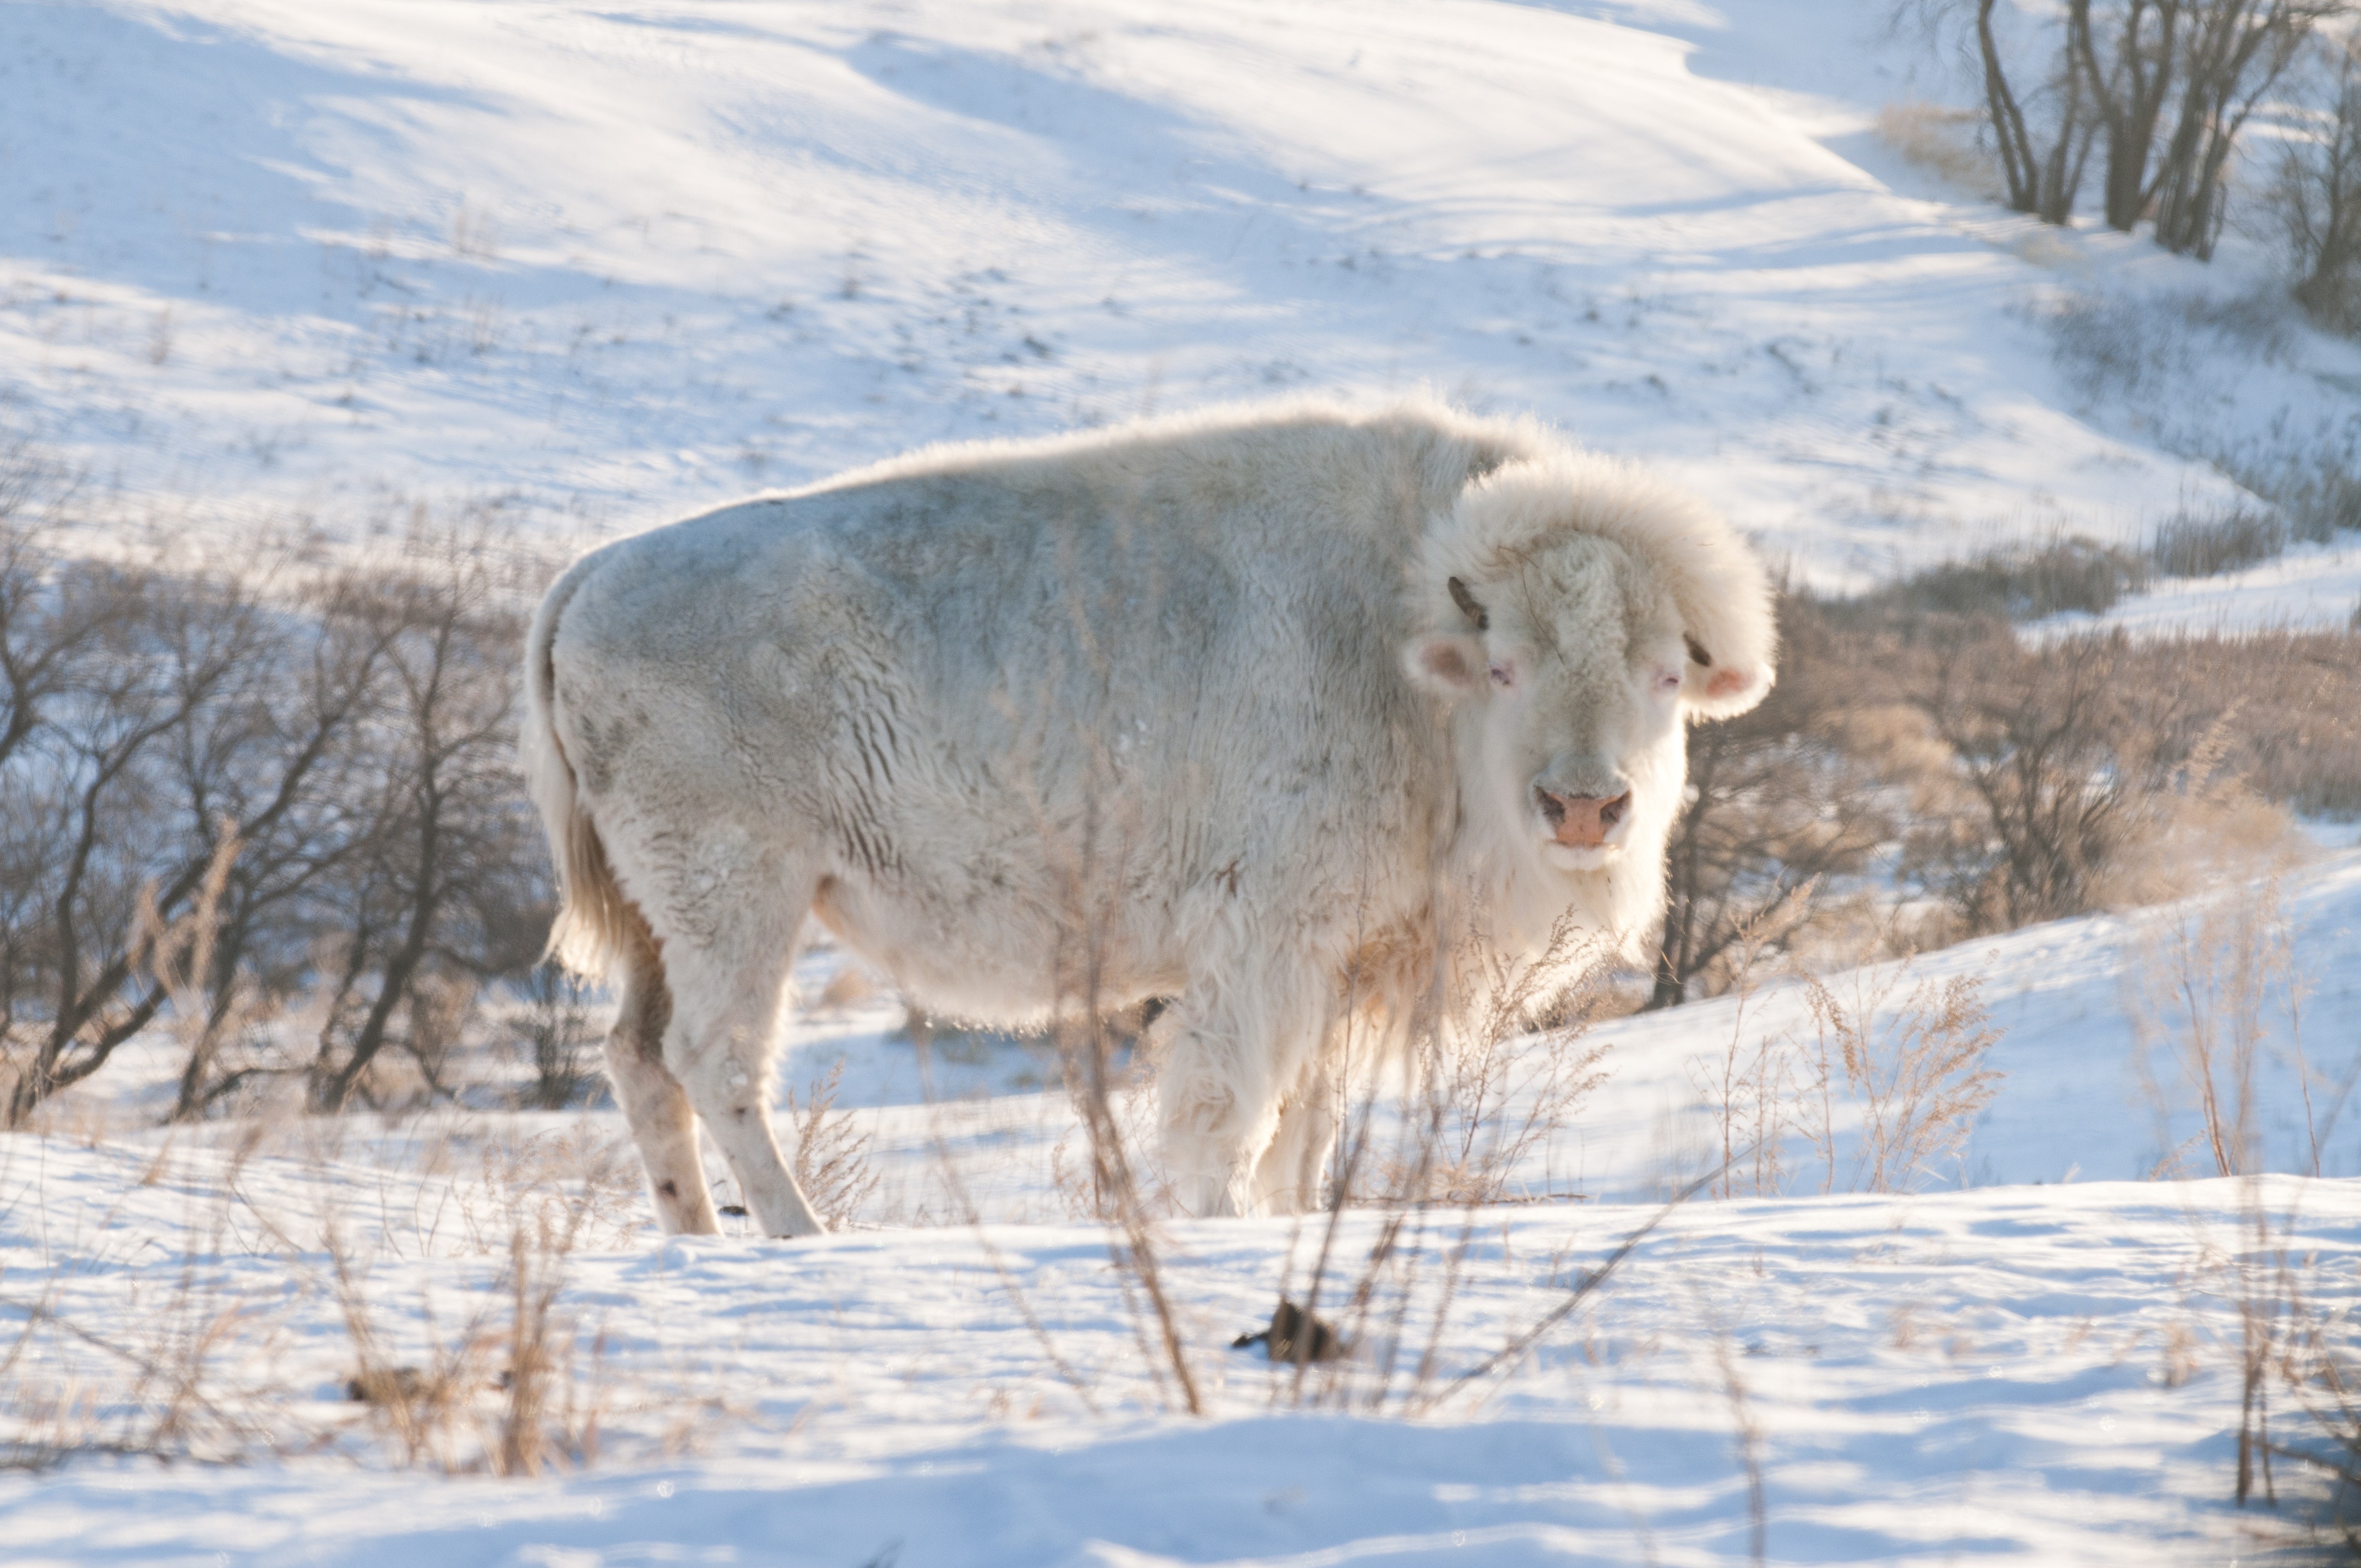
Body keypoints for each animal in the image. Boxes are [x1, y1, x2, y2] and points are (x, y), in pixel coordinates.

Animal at [517, 399, 1775, 1228]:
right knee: (716, 1057)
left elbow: (1306, 1119)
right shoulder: (1261, 946)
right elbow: (1232, 1105)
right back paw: (799, 1232)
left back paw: (693, 1235)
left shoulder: (1341, 963)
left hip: (664, 919)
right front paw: (1218, 1217)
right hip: (740, 897)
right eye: (1505, 664)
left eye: (1665, 671)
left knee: (638, 1058)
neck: (1409, 644)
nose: (1582, 806)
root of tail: (589, 575)